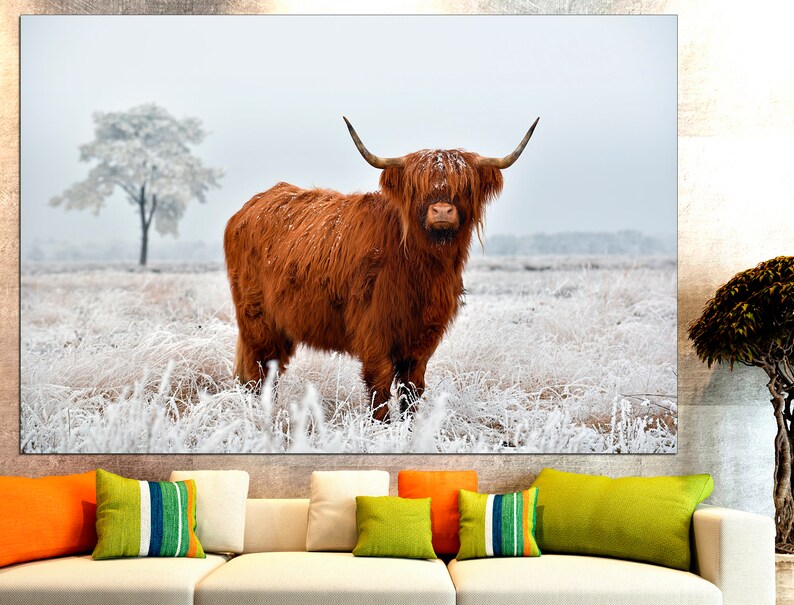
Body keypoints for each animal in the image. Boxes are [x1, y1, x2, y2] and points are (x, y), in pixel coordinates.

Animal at [224, 116, 539, 422]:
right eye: (417, 186)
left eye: (464, 186)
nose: (441, 211)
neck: (422, 269)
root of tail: (250, 207)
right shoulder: (373, 329)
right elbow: (380, 384)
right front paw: (381, 427)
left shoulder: (423, 336)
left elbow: (413, 388)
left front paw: (410, 427)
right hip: (257, 320)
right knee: (258, 372)